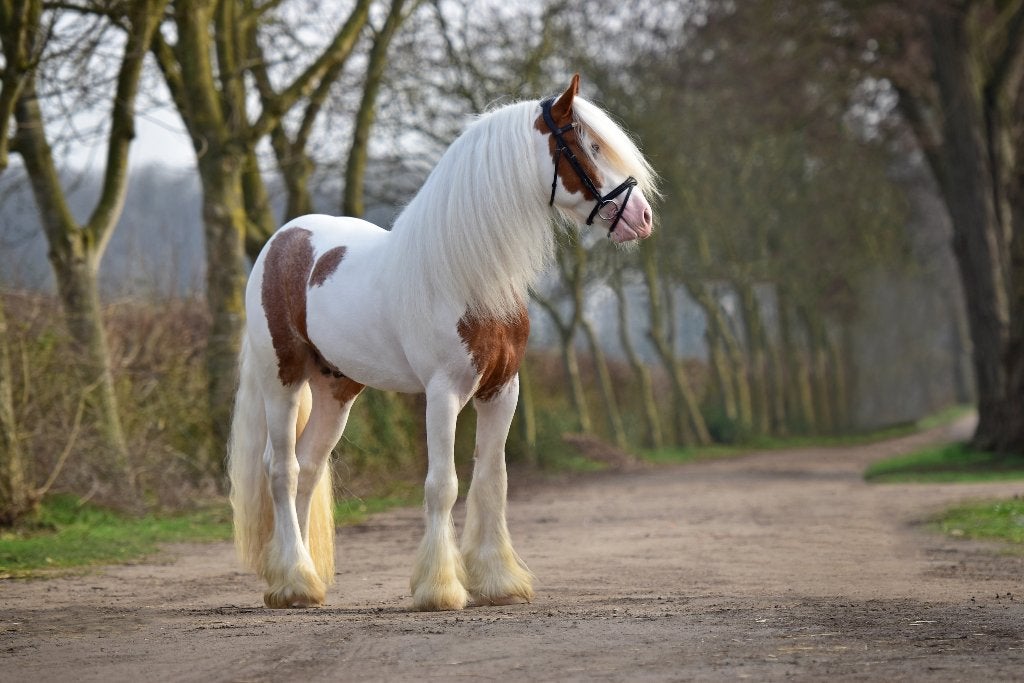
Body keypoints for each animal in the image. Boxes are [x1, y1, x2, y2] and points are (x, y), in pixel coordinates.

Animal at [227, 74, 656, 611]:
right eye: (589, 145)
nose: (642, 217)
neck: (470, 276)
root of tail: (281, 241)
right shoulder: (443, 393)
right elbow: (442, 485)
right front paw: (439, 588)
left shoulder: (502, 391)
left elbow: (492, 481)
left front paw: (498, 582)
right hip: (281, 380)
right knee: (281, 469)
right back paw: (293, 582)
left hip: (336, 389)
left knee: (308, 467)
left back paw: (305, 579)